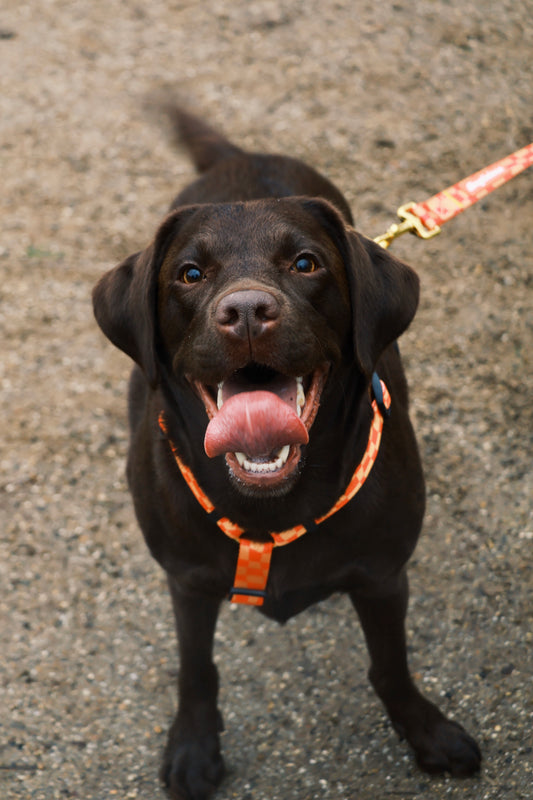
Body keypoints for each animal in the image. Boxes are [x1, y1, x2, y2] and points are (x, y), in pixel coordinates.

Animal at [92, 108, 482, 800]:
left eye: (305, 263)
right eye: (190, 274)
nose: (247, 309)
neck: (273, 505)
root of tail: (241, 153)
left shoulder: (383, 576)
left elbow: (391, 666)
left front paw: (427, 733)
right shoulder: (186, 580)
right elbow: (196, 669)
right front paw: (194, 748)